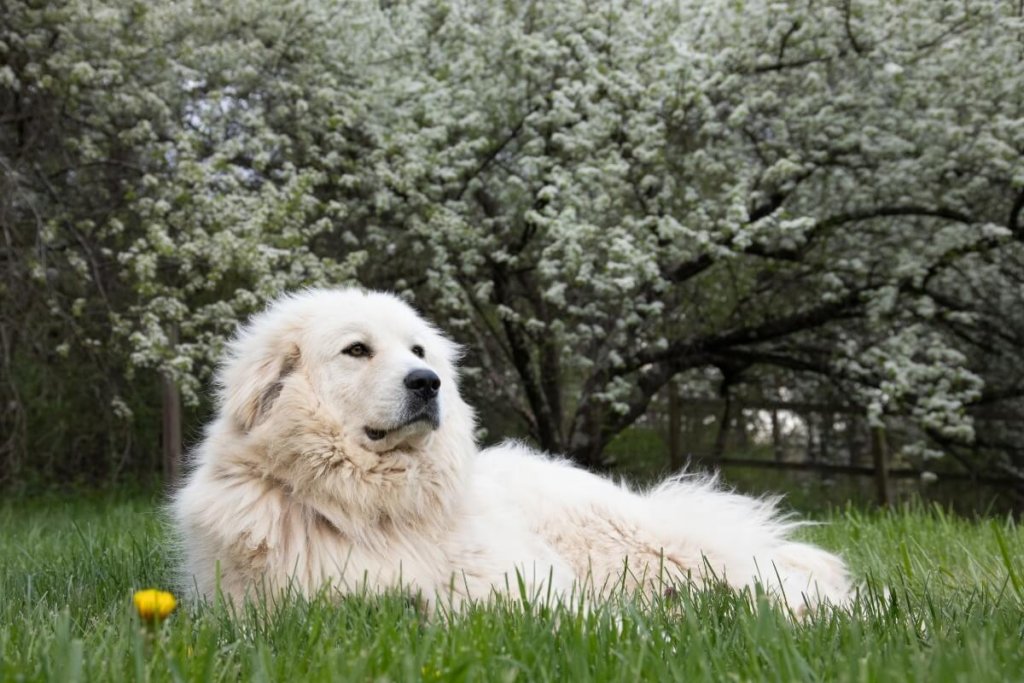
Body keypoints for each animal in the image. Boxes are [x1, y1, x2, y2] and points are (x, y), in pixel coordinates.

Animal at [172, 288, 851, 614]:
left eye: (418, 351)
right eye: (357, 350)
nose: (428, 383)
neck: (374, 508)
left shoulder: (521, 585)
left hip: (650, 550)